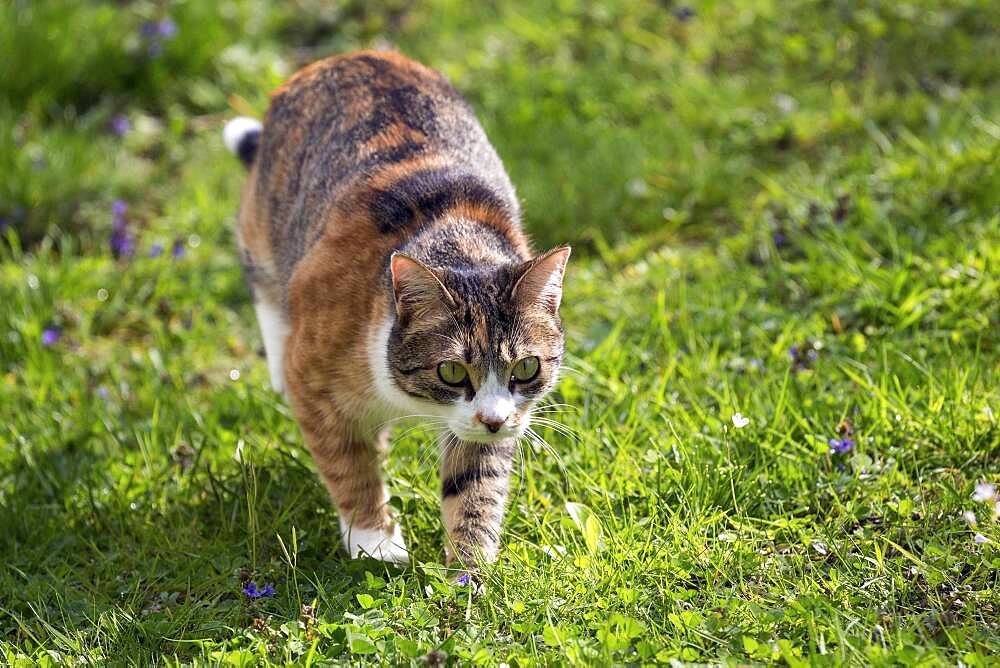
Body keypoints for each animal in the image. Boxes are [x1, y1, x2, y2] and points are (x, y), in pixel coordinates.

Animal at [225, 51, 572, 568]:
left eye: (526, 368)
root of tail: (345, 57)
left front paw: (468, 569)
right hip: (266, 223)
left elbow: (475, 482)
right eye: (451, 371)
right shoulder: (314, 373)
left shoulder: (493, 420)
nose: (493, 422)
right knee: (261, 278)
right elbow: (346, 460)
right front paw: (375, 541)